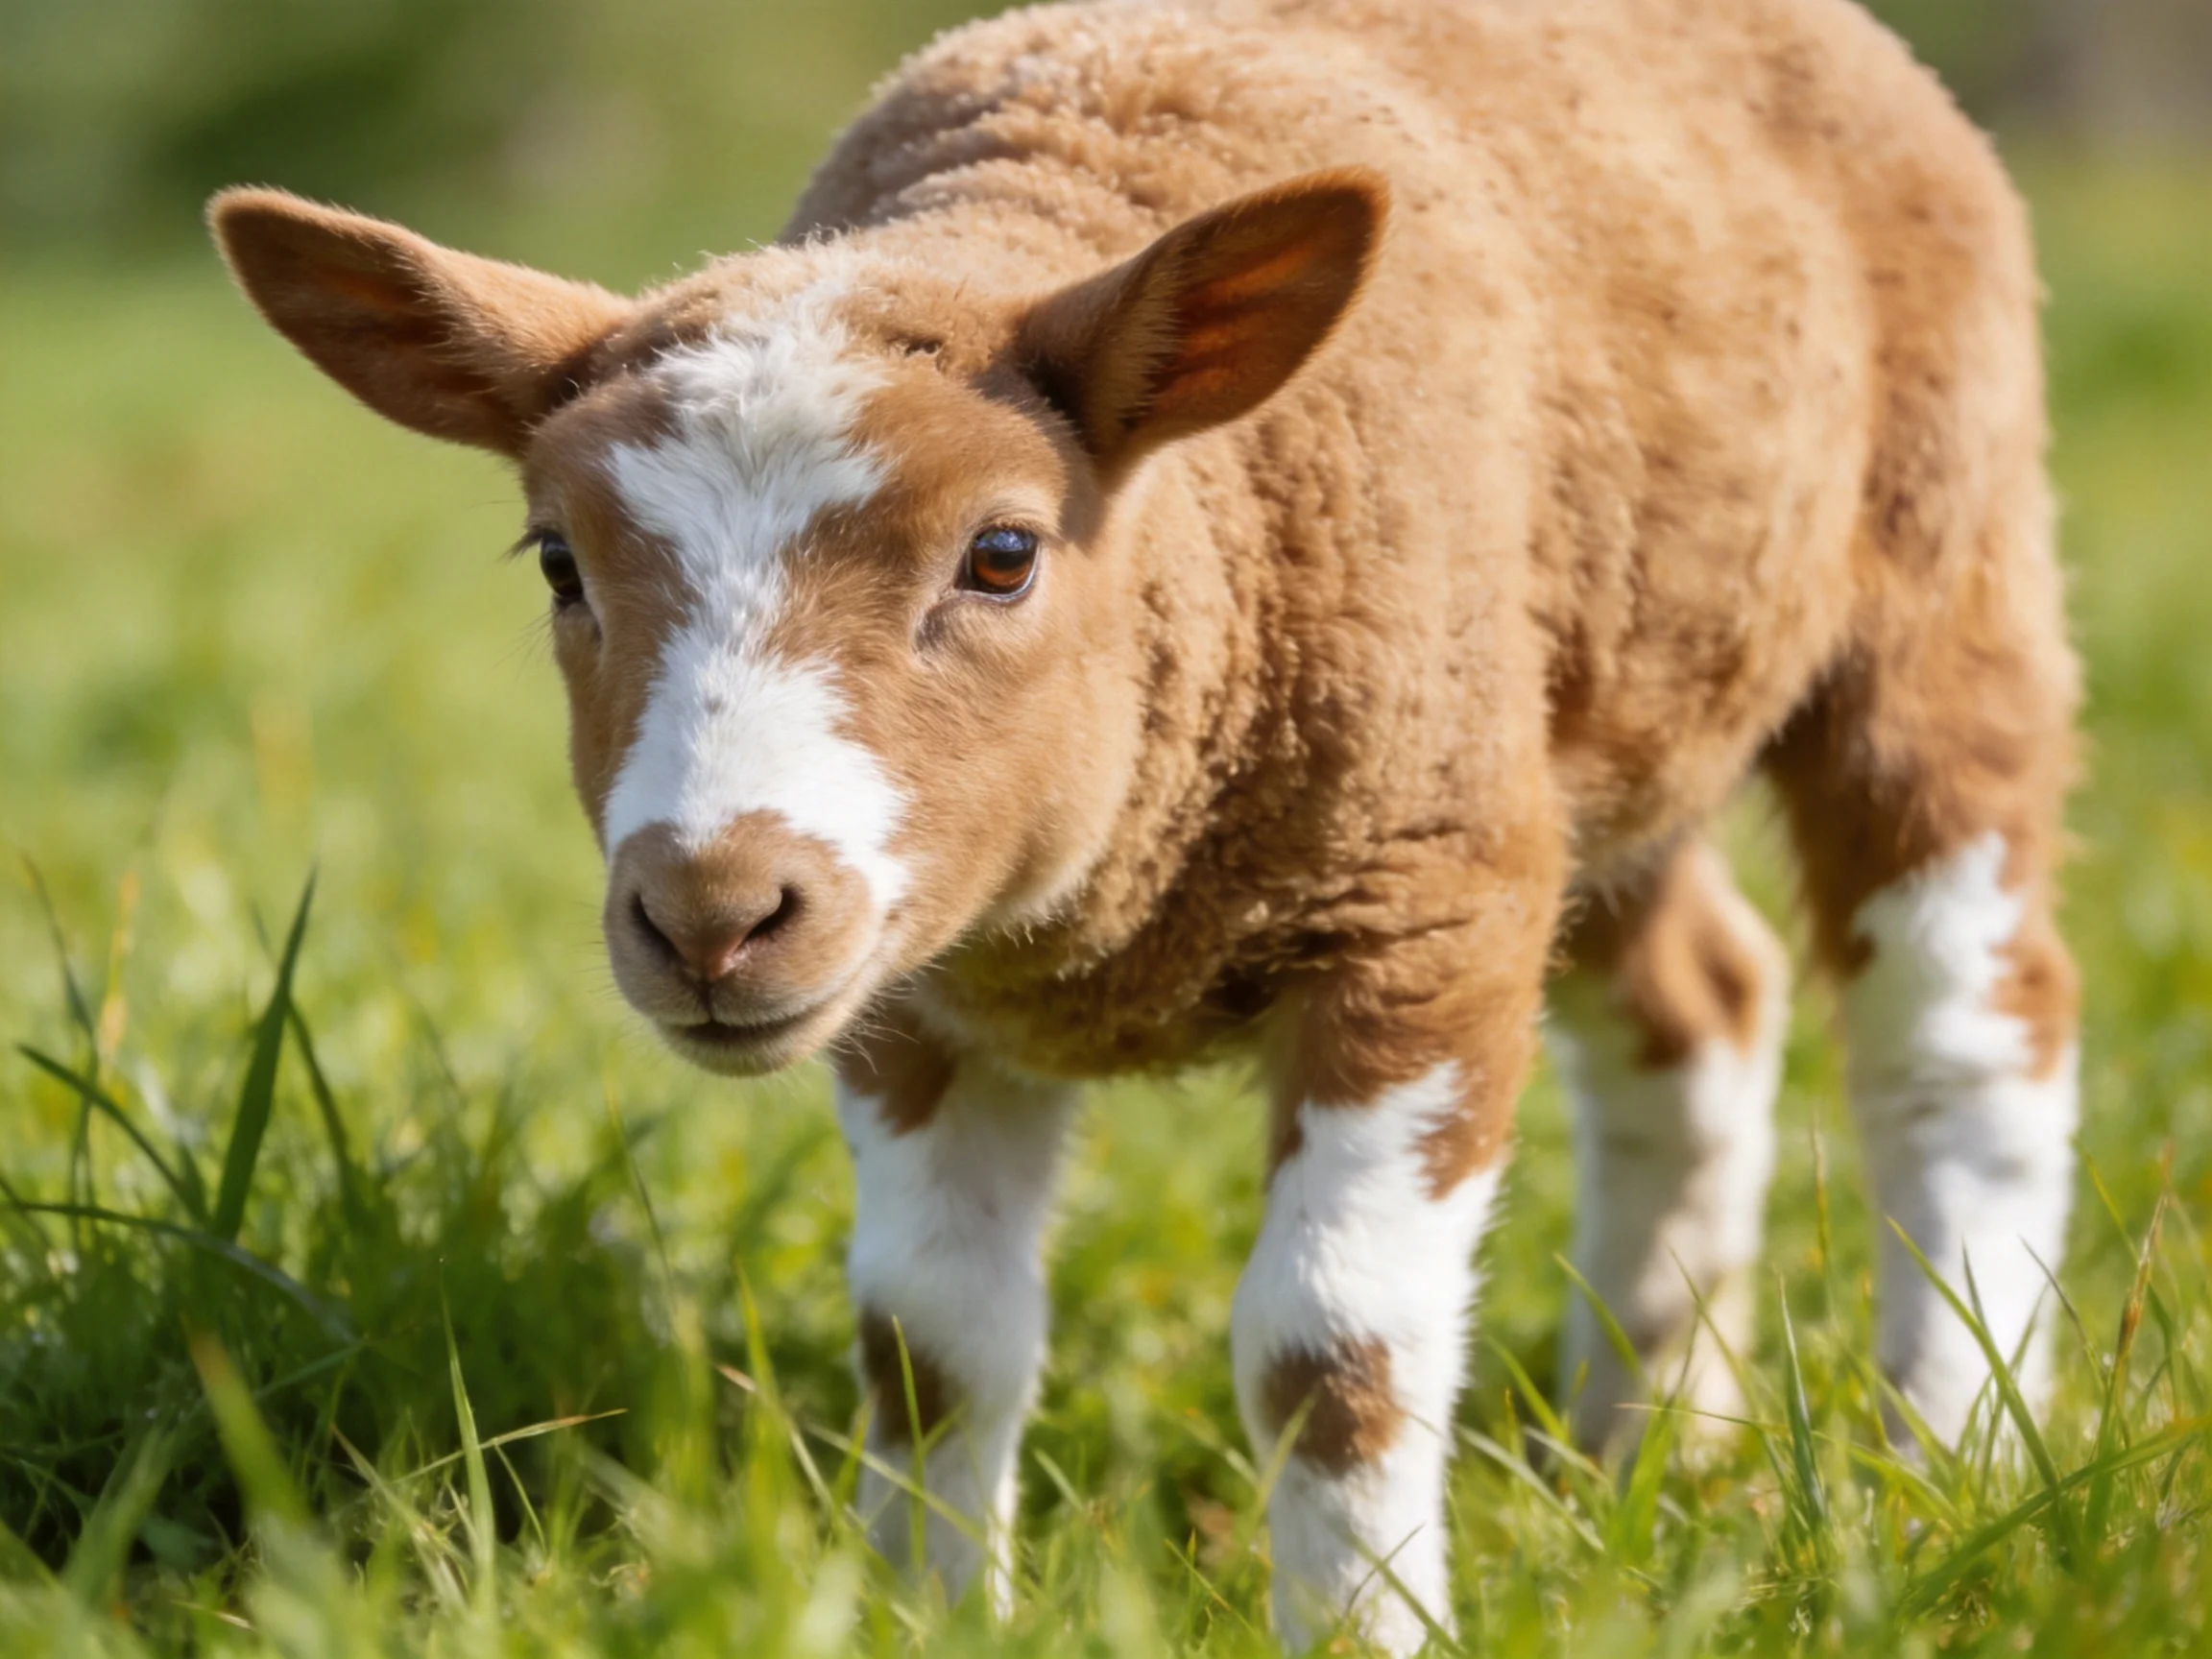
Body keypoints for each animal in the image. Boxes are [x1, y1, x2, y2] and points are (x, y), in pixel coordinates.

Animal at [207, 0, 2081, 1646]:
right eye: (557, 563)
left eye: (1002, 554)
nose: (712, 912)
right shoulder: (912, 990)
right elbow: (931, 1344)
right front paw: (934, 1623)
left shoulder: (1415, 905)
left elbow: (1335, 1353)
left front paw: (1361, 1631)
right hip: (1585, 703)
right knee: (1701, 999)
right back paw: (1646, 1438)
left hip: (1937, 550)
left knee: (1966, 1028)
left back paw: (1950, 1452)